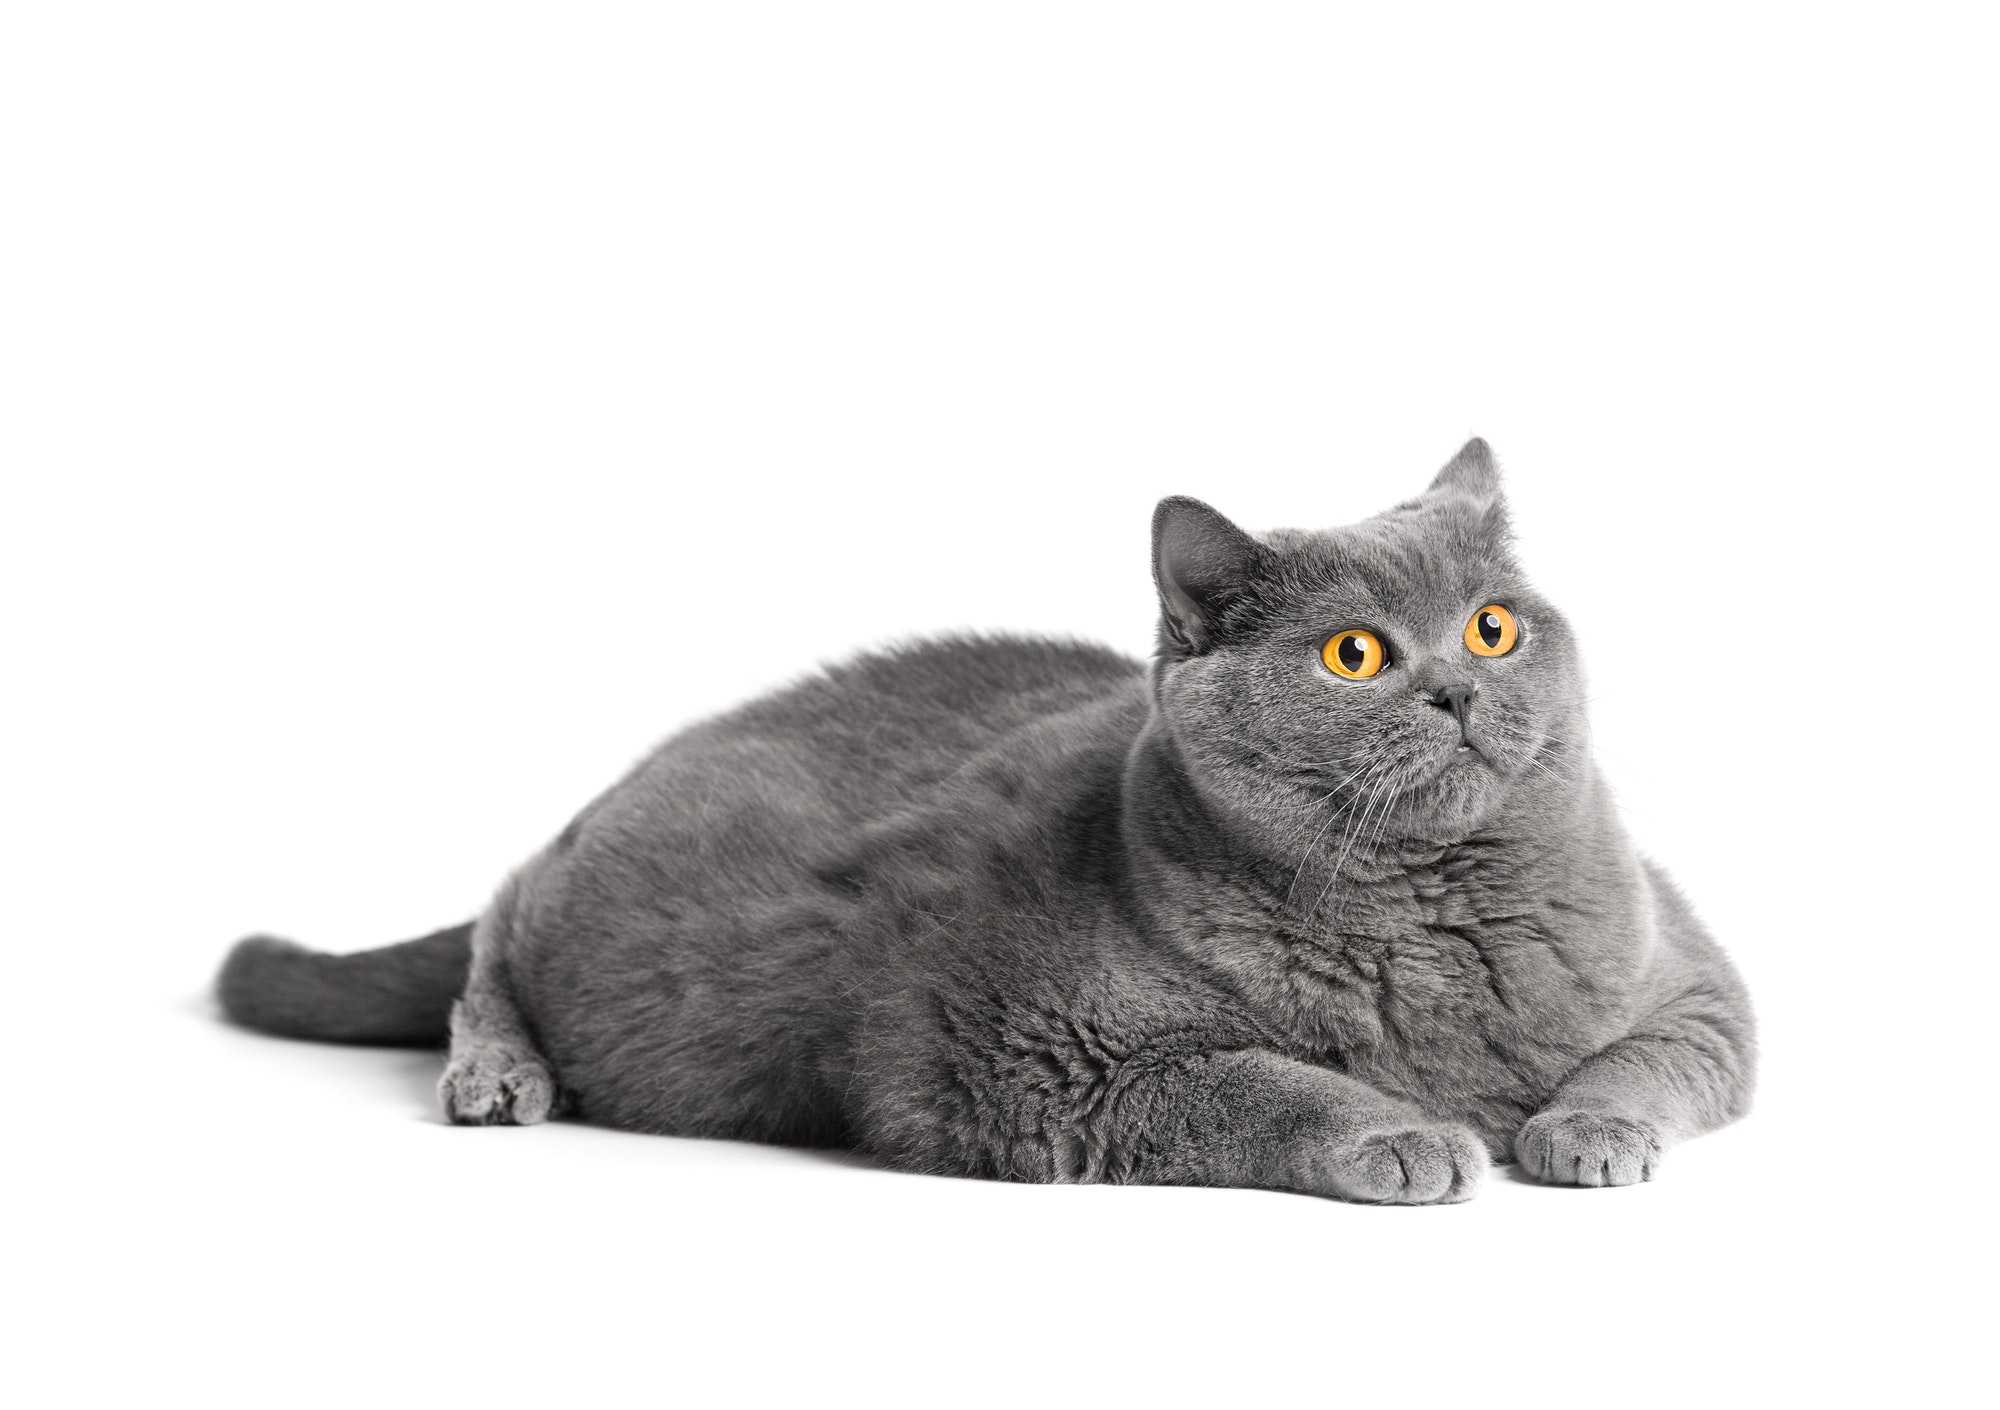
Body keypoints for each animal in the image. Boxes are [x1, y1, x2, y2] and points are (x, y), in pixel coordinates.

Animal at [215, 440, 1752, 1200]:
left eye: (1494, 625)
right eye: (1354, 655)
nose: (1454, 685)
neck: (1426, 923)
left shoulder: (1692, 973)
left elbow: (1658, 1055)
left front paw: (1583, 1132)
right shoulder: (1010, 1060)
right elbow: (1253, 1076)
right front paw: (1402, 1131)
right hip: (582, 906)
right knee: (492, 920)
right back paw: (496, 1074)